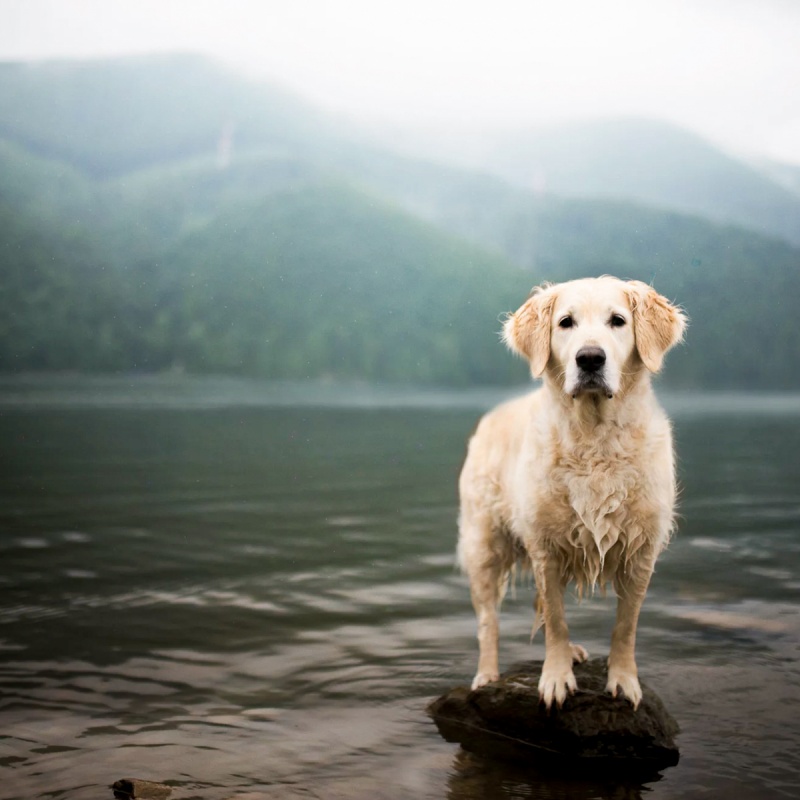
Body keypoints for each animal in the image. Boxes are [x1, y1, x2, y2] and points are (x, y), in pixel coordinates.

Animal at [460, 276, 684, 708]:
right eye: (566, 322)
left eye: (618, 320)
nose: (590, 359)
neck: (595, 438)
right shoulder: (545, 547)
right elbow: (557, 619)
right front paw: (556, 678)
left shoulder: (642, 549)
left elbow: (625, 625)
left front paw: (623, 680)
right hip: (483, 547)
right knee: (487, 623)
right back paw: (486, 675)